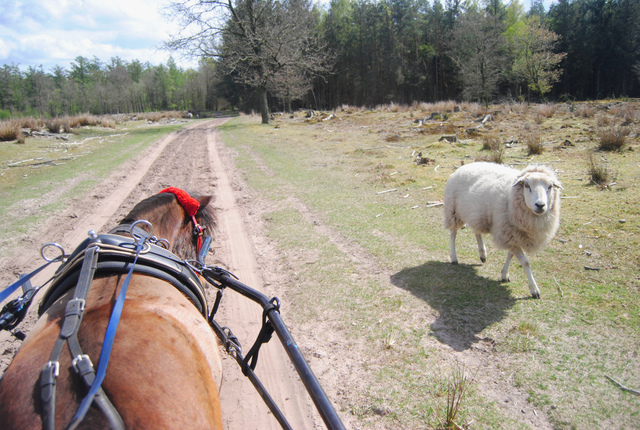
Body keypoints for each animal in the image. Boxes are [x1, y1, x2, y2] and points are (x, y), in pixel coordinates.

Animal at [442, 162, 564, 298]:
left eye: (550, 186)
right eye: (527, 185)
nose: (540, 205)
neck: (511, 198)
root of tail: (464, 166)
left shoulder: (512, 234)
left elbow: (511, 255)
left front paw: (504, 274)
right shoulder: (508, 231)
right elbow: (525, 262)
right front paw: (534, 289)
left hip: (476, 213)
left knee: (477, 232)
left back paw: (482, 253)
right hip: (453, 210)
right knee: (453, 233)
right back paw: (454, 257)